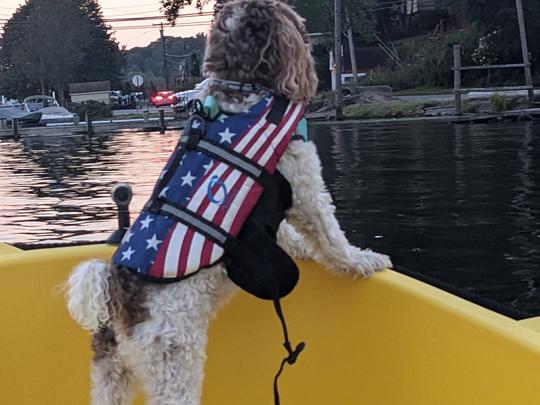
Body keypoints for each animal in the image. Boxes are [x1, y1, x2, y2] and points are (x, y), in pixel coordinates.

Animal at [66, 1, 392, 402]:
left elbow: (285, 234)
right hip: (173, 361)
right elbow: (332, 238)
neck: (241, 87)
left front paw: (301, 248)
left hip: (110, 375)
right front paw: (363, 260)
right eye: (295, 20)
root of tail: (115, 296)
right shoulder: (304, 185)